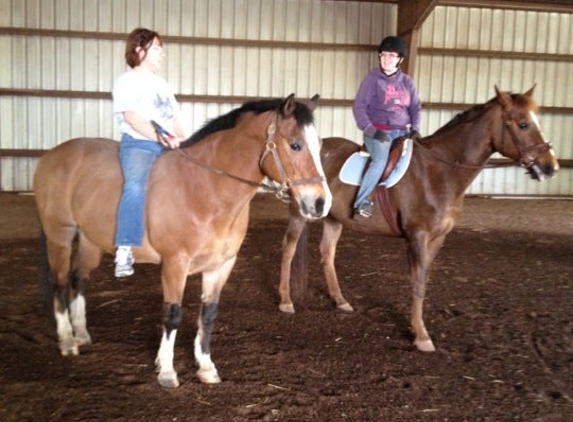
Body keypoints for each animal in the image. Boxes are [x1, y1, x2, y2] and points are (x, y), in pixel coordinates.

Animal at [34, 94, 330, 388]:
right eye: (295, 145)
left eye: (319, 145)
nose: (321, 204)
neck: (205, 188)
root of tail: (50, 156)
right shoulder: (175, 264)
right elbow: (173, 314)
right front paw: (166, 371)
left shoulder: (221, 265)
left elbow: (208, 314)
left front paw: (207, 368)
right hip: (60, 236)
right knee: (59, 282)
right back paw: (68, 340)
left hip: (90, 242)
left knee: (77, 277)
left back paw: (81, 333)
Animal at [280, 85, 556, 352]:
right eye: (523, 124)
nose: (550, 167)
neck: (439, 172)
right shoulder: (417, 236)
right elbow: (418, 283)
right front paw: (422, 336)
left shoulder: (437, 238)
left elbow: (423, 281)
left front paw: (417, 329)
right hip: (299, 213)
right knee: (289, 249)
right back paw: (285, 301)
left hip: (334, 218)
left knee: (327, 253)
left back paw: (340, 301)